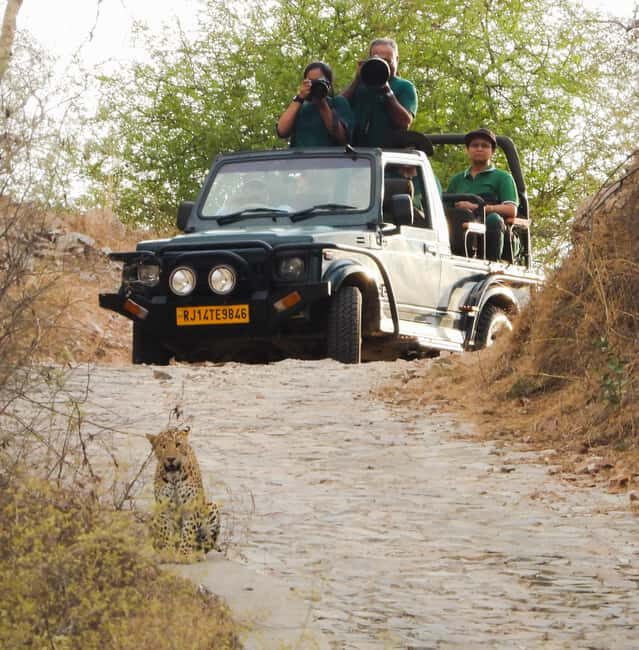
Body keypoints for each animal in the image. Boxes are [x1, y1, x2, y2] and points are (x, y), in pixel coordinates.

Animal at [146, 425, 220, 559]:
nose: (171, 459)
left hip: (212, 507)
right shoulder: (163, 505)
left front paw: (184, 554)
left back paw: (197, 554)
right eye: (163, 446)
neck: (174, 475)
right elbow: (166, 530)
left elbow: (188, 531)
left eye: (178, 444)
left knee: (205, 543)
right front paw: (168, 552)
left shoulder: (191, 504)